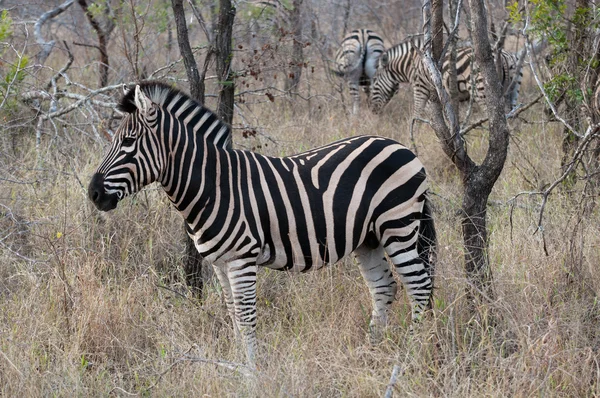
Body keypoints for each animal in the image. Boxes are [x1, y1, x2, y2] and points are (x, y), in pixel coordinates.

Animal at [88, 82, 436, 368]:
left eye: (128, 142)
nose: (93, 194)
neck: (213, 186)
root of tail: (402, 148)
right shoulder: (218, 262)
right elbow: (232, 314)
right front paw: (239, 364)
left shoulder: (241, 258)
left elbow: (246, 317)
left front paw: (252, 374)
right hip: (369, 238)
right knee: (384, 288)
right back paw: (370, 353)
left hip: (398, 226)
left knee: (419, 288)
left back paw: (409, 357)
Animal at [370, 36, 520, 117]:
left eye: (375, 81)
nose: (372, 110)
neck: (411, 64)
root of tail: (503, 55)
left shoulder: (421, 87)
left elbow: (418, 113)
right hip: (510, 89)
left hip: (481, 90)